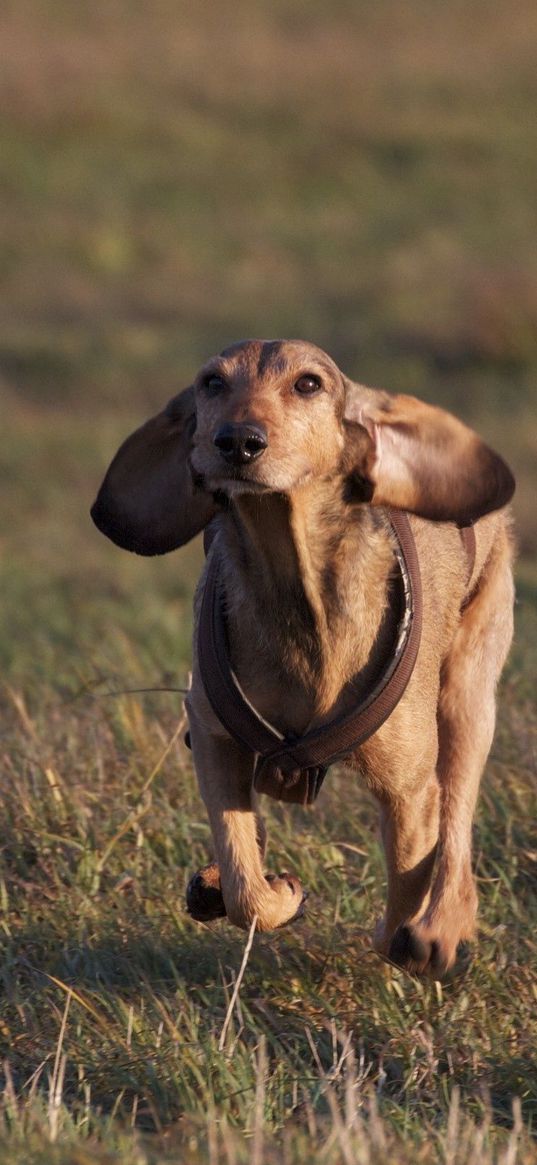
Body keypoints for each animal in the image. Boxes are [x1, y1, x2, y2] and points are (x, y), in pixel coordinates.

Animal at [92, 337, 514, 973]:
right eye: (212, 383)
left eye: (309, 384)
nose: (238, 440)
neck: (294, 585)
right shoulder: (212, 739)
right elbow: (245, 883)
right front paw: (269, 891)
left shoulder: (409, 790)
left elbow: (404, 889)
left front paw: (406, 935)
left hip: (468, 698)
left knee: (458, 826)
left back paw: (442, 928)